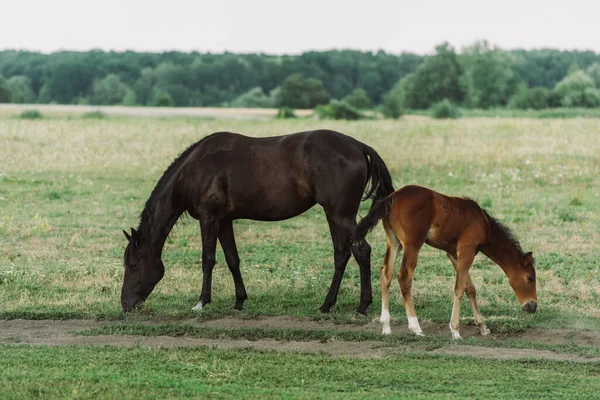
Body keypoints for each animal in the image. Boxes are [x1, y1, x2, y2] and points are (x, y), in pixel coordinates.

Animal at [121, 130, 394, 314]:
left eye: (133, 265)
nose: (125, 304)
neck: (196, 169)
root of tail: (359, 146)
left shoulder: (210, 218)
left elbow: (208, 259)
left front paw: (201, 301)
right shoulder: (224, 221)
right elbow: (232, 259)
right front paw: (239, 300)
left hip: (340, 215)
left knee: (361, 251)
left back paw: (361, 306)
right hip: (335, 215)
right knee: (342, 254)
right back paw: (328, 304)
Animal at [352, 186, 540, 340]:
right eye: (530, 278)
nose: (532, 306)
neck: (483, 222)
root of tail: (392, 197)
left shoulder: (453, 254)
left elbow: (470, 288)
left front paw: (483, 327)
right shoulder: (466, 251)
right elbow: (459, 288)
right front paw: (455, 331)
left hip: (393, 241)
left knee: (386, 273)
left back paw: (386, 326)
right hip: (412, 244)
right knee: (404, 276)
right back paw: (416, 327)